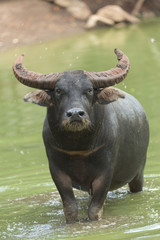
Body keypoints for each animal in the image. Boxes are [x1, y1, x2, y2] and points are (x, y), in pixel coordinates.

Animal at [13, 49, 149, 224]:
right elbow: (70, 208)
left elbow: (94, 209)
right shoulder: (57, 172)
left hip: (139, 173)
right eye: (58, 91)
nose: (75, 114)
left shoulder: (105, 172)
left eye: (89, 90)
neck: (79, 148)